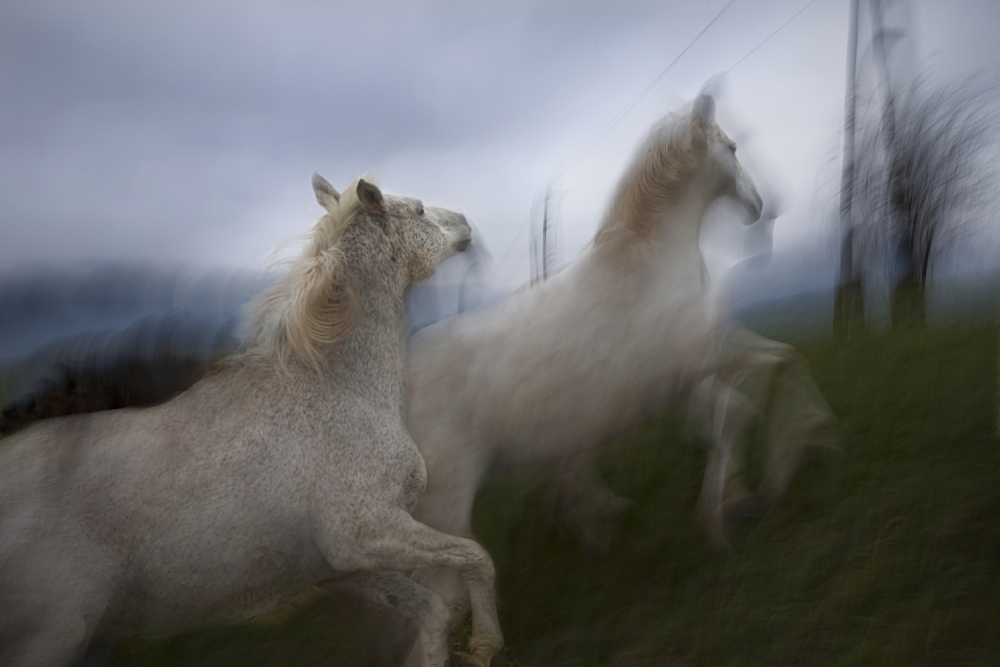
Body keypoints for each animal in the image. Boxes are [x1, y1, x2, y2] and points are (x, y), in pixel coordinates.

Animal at [0, 175, 504, 664]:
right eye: (418, 209)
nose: (465, 222)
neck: (338, 389)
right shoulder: (367, 534)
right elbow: (477, 557)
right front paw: (485, 643)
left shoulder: (336, 568)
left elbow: (432, 611)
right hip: (53, 637)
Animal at [406, 95, 836, 628]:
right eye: (733, 147)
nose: (762, 206)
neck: (652, 258)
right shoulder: (708, 352)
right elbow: (784, 362)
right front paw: (797, 451)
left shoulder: (697, 368)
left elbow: (729, 414)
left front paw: (734, 503)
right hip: (449, 502)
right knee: (437, 601)